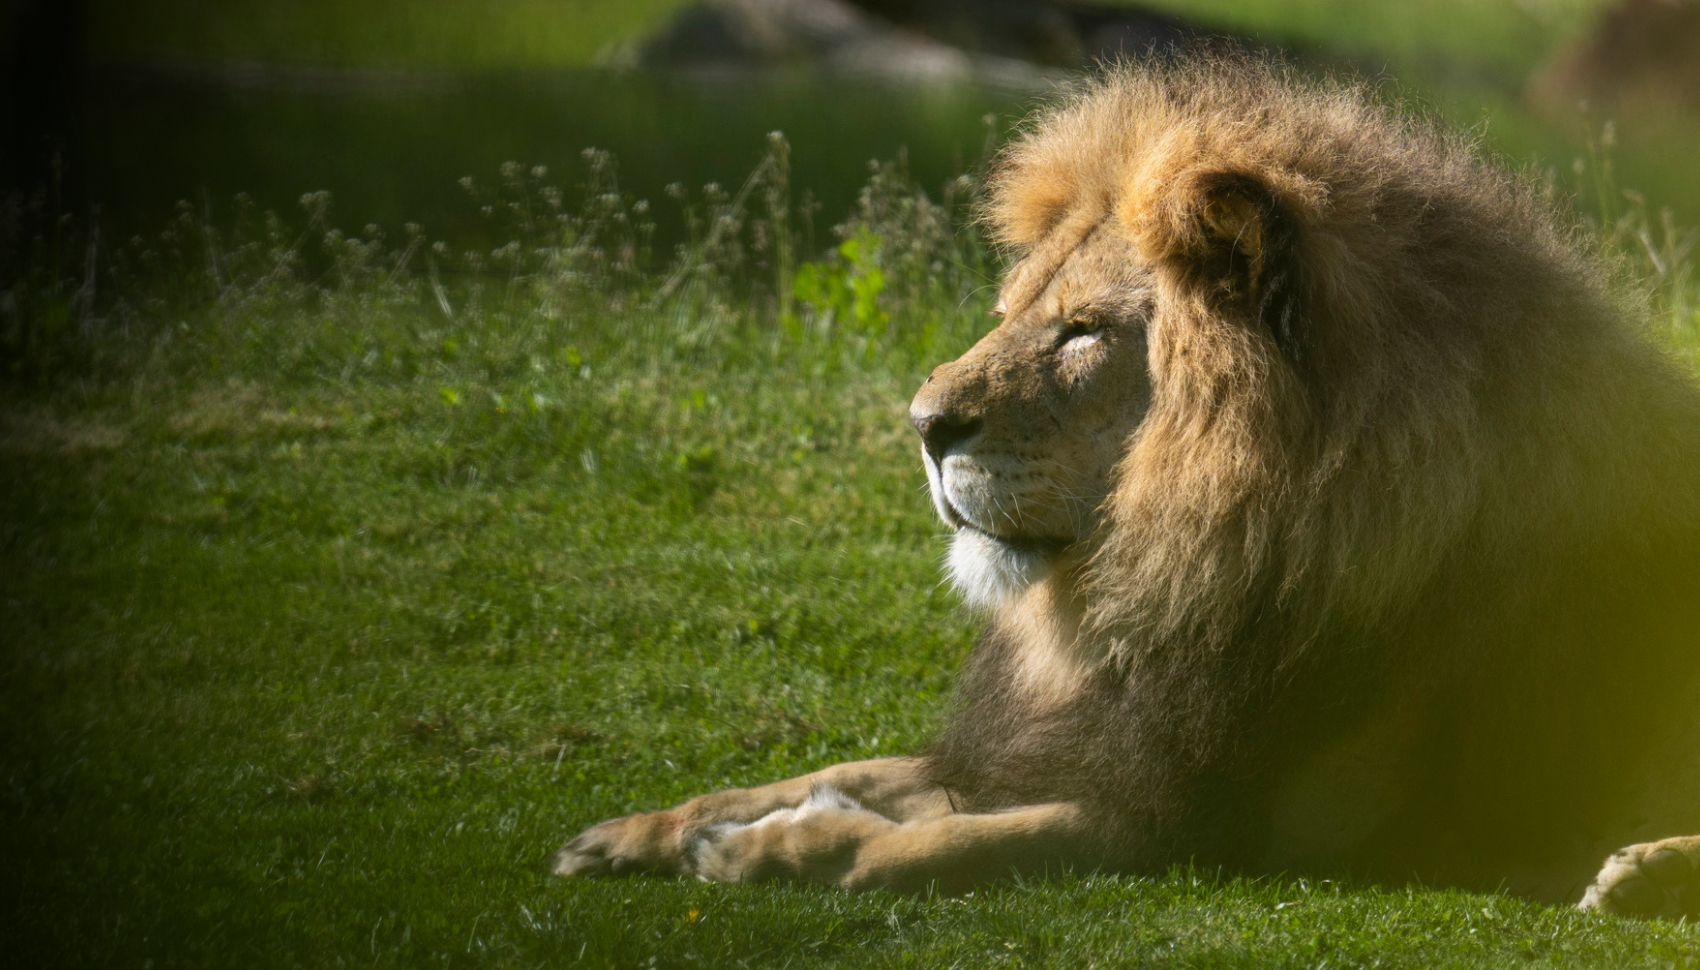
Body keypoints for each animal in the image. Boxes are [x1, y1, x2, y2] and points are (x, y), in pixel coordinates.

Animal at [554, 55, 1700, 917]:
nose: (921, 426)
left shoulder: (1210, 819)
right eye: (1011, 311)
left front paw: (761, 852)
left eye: (1081, 333)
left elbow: (929, 846)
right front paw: (649, 827)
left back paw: (1642, 874)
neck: (1153, 578)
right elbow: (838, 772)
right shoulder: (1049, 740)